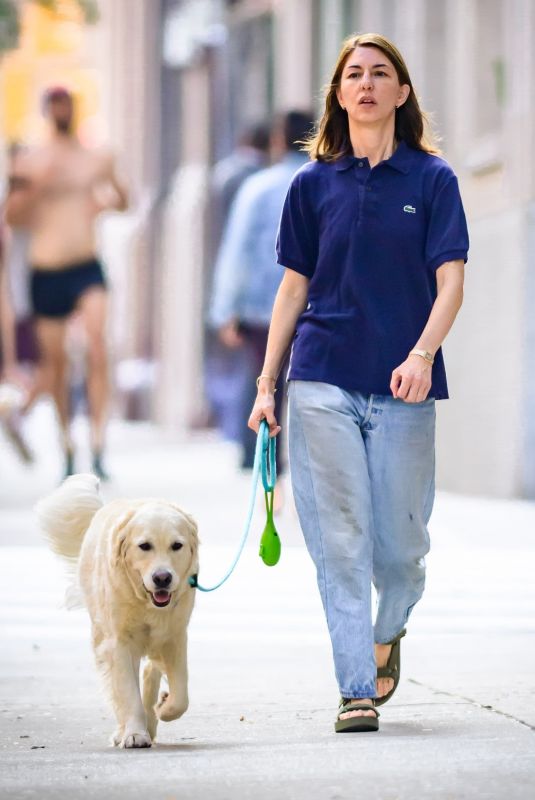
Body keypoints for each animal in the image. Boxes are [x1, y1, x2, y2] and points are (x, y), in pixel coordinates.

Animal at [36, 472, 199, 748]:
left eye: (177, 545)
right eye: (144, 546)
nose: (162, 578)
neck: (144, 601)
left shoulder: (174, 636)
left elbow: (181, 696)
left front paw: (164, 708)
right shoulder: (118, 642)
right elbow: (127, 693)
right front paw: (134, 733)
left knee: (150, 671)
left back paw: (152, 719)